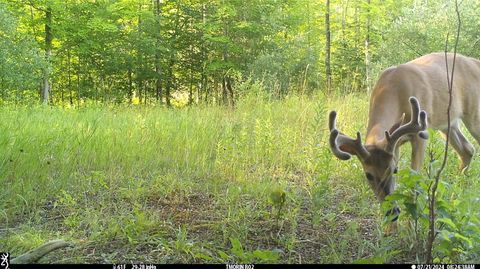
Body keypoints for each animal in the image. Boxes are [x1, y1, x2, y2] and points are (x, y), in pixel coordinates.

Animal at [330, 52, 480, 232]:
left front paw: (411, 228)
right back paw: (456, 194)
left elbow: (414, 183)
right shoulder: (394, 144)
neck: (395, 89)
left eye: (394, 170)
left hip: (473, 113)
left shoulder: (421, 133)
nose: (392, 212)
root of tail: (475, 62)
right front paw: (390, 230)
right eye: (368, 175)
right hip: (448, 123)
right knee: (467, 149)